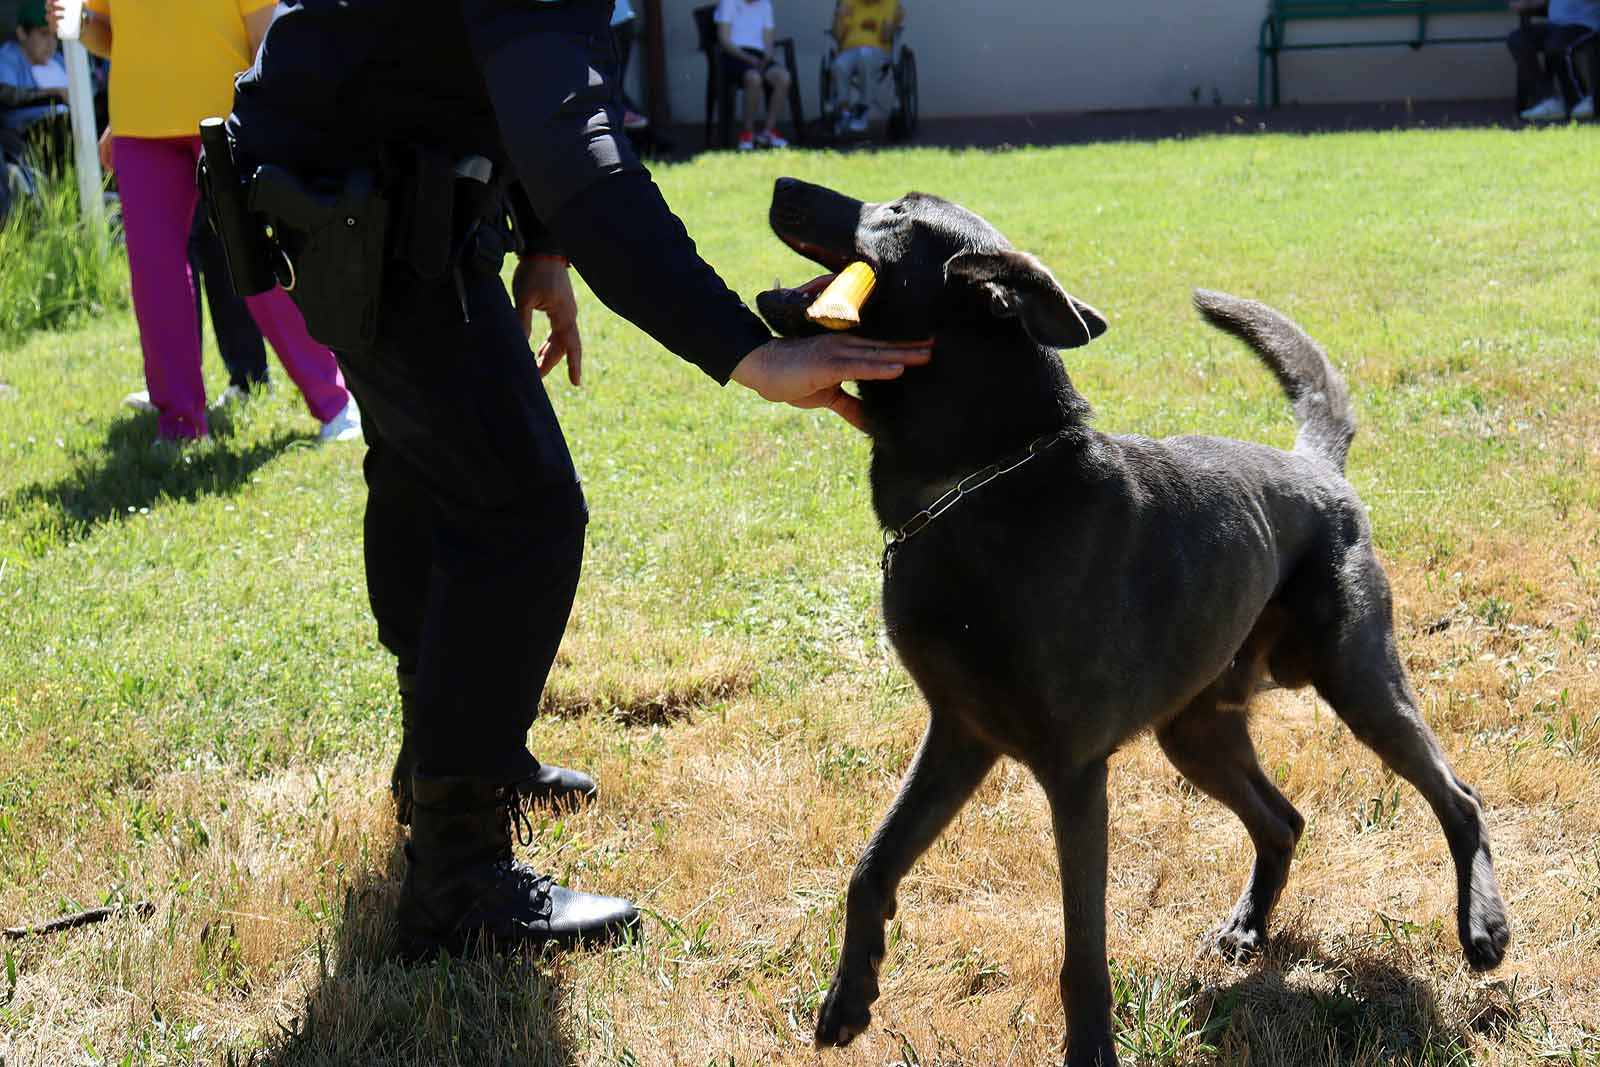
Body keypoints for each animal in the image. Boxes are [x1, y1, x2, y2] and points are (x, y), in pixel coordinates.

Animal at [755, 179, 1504, 1062]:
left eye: (900, 213)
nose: (782, 185)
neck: (979, 481)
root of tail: (1316, 468)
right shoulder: (960, 735)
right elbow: (872, 863)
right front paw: (850, 996)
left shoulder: (1074, 773)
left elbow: (1083, 950)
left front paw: (1089, 1049)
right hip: (1195, 731)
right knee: (1283, 819)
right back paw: (1248, 925)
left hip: (1358, 679)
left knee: (1458, 795)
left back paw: (1483, 928)